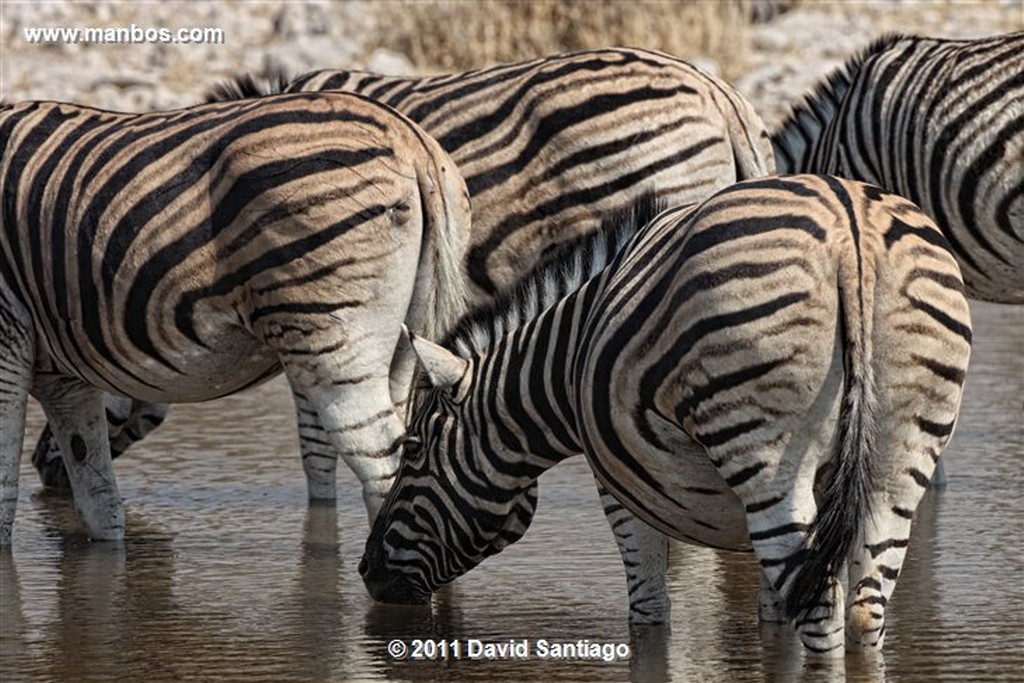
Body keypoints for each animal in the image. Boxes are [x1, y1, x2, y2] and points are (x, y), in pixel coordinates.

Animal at [0, 93, 471, 544]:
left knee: (380, 461)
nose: (44, 469)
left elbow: (5, 494)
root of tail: (409, 139)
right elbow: (100, 503)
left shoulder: (7, 340)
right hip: (404, 346)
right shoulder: (63, 379)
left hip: (333, 344)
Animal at [360, 174, 974, 655]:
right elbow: (774, 618)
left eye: (412, 450)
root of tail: (851, 232)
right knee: (865, 610)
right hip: (899, 460)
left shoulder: (622, 489)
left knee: (823, 614)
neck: (564, 358)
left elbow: (649, 610)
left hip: (765, 457)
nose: (366, 571)